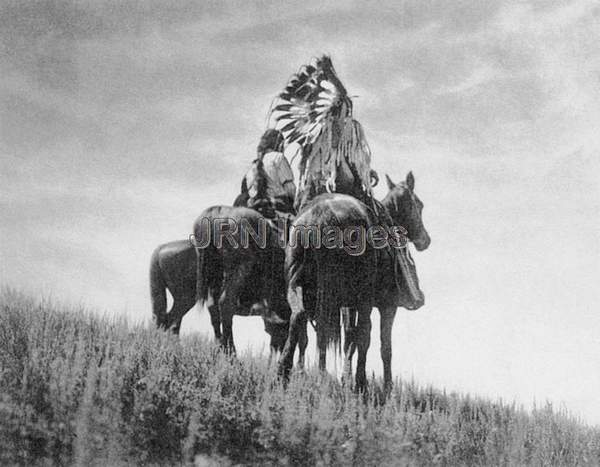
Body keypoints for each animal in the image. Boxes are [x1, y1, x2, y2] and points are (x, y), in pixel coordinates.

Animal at [278, 172, 428, 392]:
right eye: (419, 204)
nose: (426, 240)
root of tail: (321, 215)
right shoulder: (387, 306)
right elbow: (382, 345)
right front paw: (384, 387)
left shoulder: (347, 305)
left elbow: (349, 339)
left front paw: (346, 378)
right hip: (361, 298)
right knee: (363, 333)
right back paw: (359, 383)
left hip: (298, 286)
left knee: (298, 316)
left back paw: (284, 371)